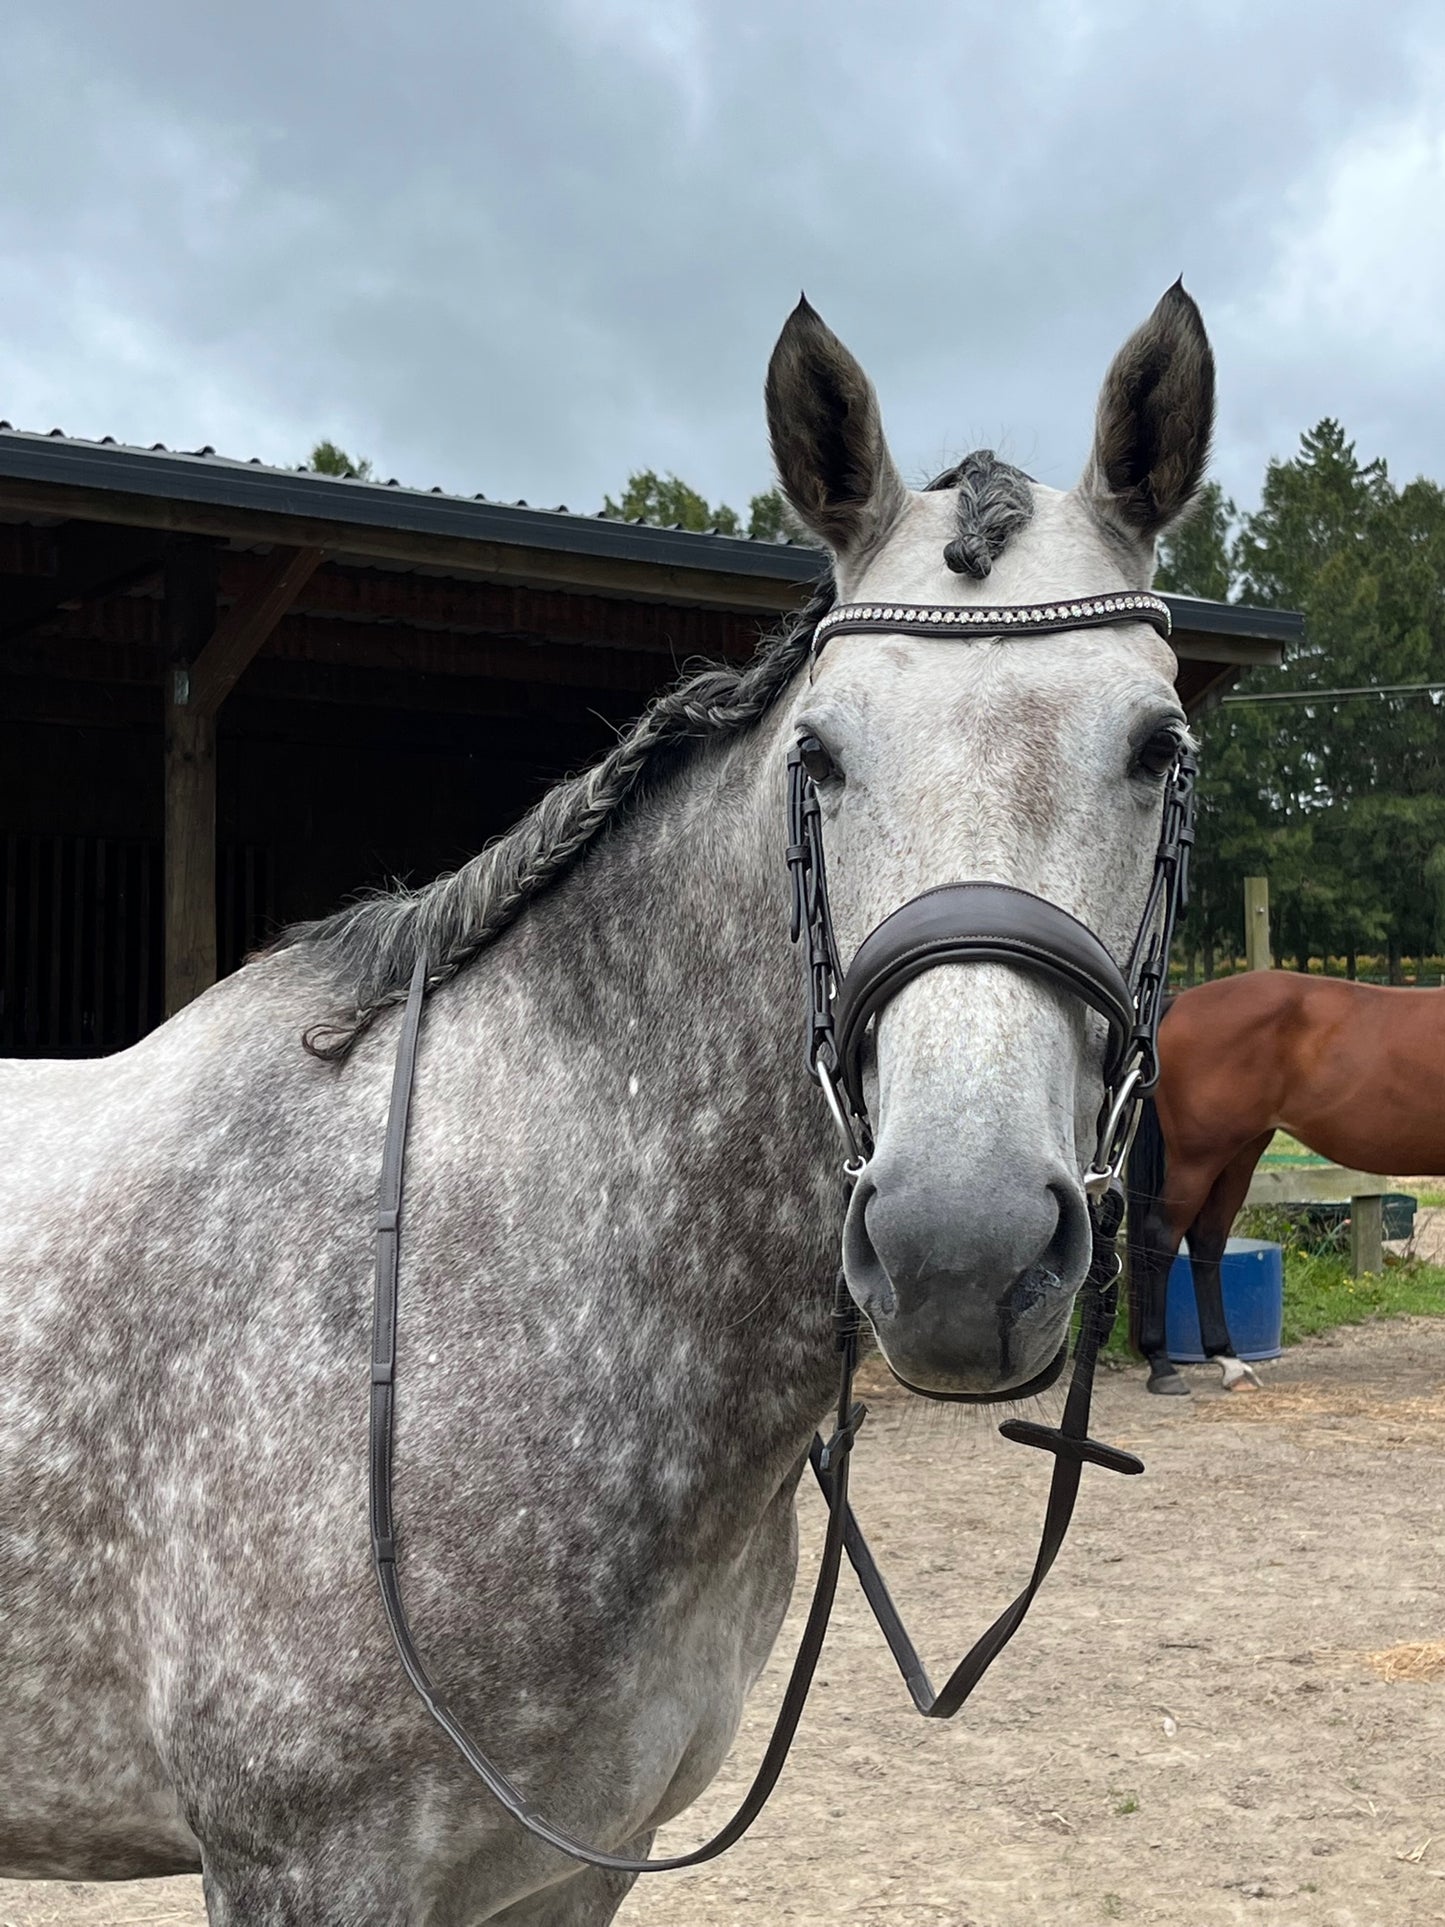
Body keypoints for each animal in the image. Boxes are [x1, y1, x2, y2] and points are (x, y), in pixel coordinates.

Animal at [1132, 971, 1445, 1395]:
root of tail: (1180, 1002)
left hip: (1239, 1154)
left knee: (1208, 1241)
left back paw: (1229, 1361)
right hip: (1197, 1159)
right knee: (1163, 1238)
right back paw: (1162, 1365)